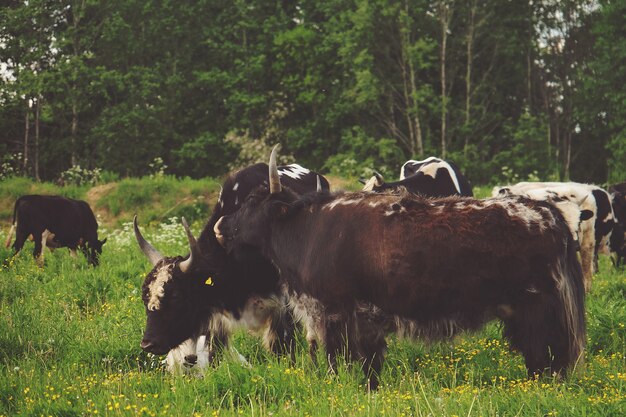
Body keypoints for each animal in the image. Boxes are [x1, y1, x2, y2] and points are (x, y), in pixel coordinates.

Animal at [134, 162, 330, 370]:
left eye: (176, 296)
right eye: (145, 297)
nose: (148, 344)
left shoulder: (283, 307)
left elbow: (282, 347)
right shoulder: (217, 318)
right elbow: (215, 351)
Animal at [214, 147, 584, 390]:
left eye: (251, 202)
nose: (220, 225)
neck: (307, 230)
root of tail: (547, 213)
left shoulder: (334, 315)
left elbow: (336, 362)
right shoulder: (366, 323)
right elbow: (368, 366)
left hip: (538, 311)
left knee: (548, 357)